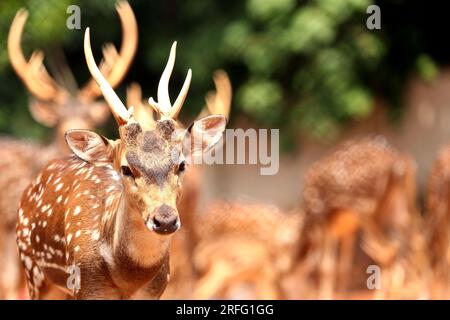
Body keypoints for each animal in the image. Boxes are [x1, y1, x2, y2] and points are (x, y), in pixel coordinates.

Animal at [15, 28, 227, 300]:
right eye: (126, 168)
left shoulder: (155, 290)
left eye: (181, 165)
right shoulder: (86, 287)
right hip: (33, 271)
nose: (165, 220)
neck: (128, 277)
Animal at [296, 136, 428, 298]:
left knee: (389, 249)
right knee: (415, 240)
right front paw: (341, 293)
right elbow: (343, 265)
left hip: (369, 208)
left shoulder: (323, 219)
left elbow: (326, 266)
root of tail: (399, 163)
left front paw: (326, 296)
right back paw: (421, 290)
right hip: (402, 202)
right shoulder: (347, 229)